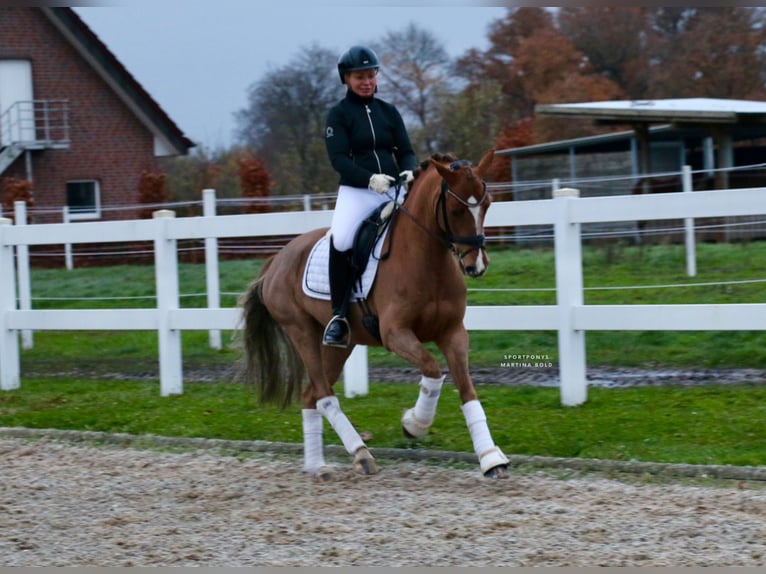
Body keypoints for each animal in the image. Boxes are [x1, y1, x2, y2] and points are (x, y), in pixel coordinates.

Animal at [240, 150, 510, 482]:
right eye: (457, 210)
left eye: (487, 205)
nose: (477, 266)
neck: (427, 261)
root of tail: (277, 259)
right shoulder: (395, 334)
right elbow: (433, 371)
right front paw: (414, 424)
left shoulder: (453, 333)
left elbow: (468, 390)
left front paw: (490, 458)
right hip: (301, 332)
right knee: (324, 395)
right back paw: (360, 453)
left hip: (341, 344)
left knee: (311, 395)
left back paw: (318, 465)